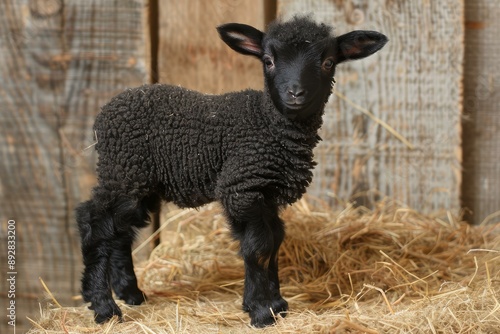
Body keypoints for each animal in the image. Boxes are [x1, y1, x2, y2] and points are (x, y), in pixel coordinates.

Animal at [76, 15, 386, 326]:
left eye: (328, 62)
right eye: (268, 60)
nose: (295, 93)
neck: (269, 124)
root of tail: (104, 114)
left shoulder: (266, 193)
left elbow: (274, 240)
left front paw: (272, 304)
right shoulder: (241, 188)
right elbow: (259, 246)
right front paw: (262, 311)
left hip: (139, 180)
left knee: (120, 231)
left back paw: (130, 293)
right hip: (123, 171)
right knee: (95, 223)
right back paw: (103, 306)